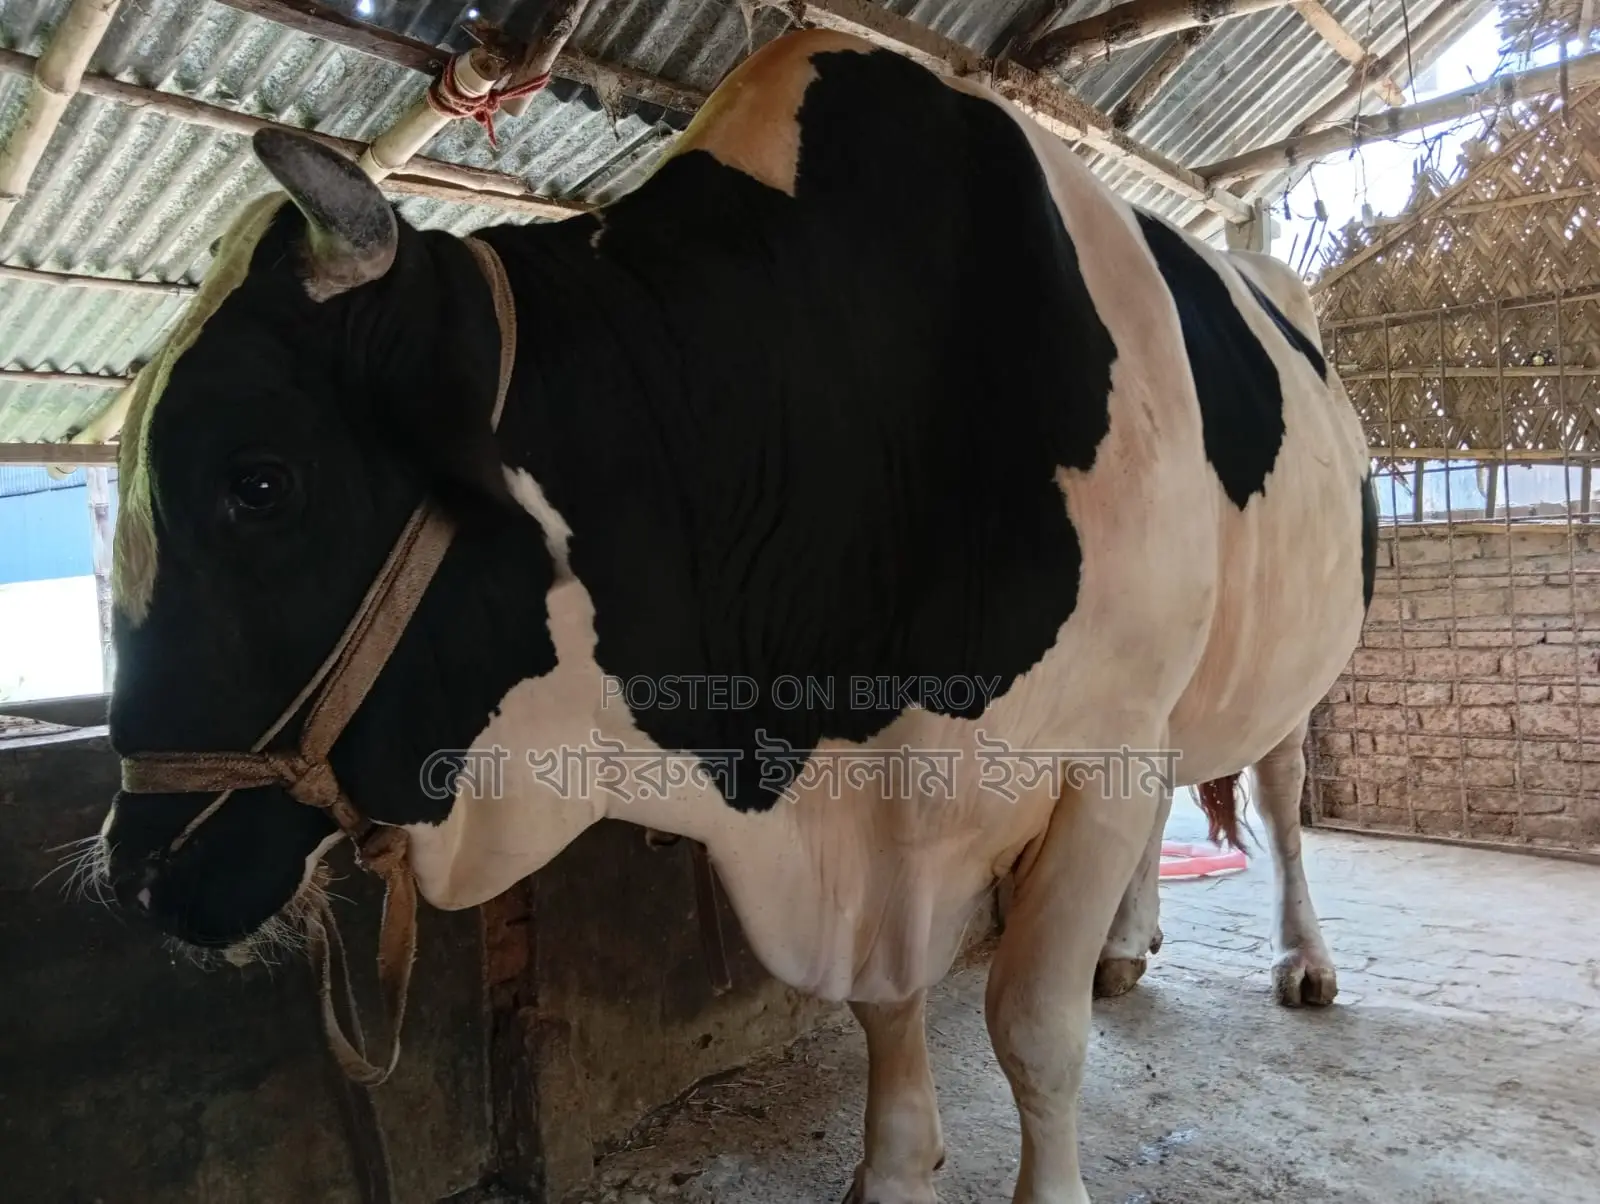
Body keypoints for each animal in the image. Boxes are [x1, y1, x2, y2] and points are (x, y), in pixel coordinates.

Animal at [93, 29, 1374, 1204]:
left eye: (261, 482)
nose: (137, 871)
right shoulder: (883, 813)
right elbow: (885, 1006)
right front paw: (894, 1165)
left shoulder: (1095, 753)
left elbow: (1032, 1032)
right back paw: (1126, 943)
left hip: (1284, 673)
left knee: (1278, 794)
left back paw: (1305, 959)